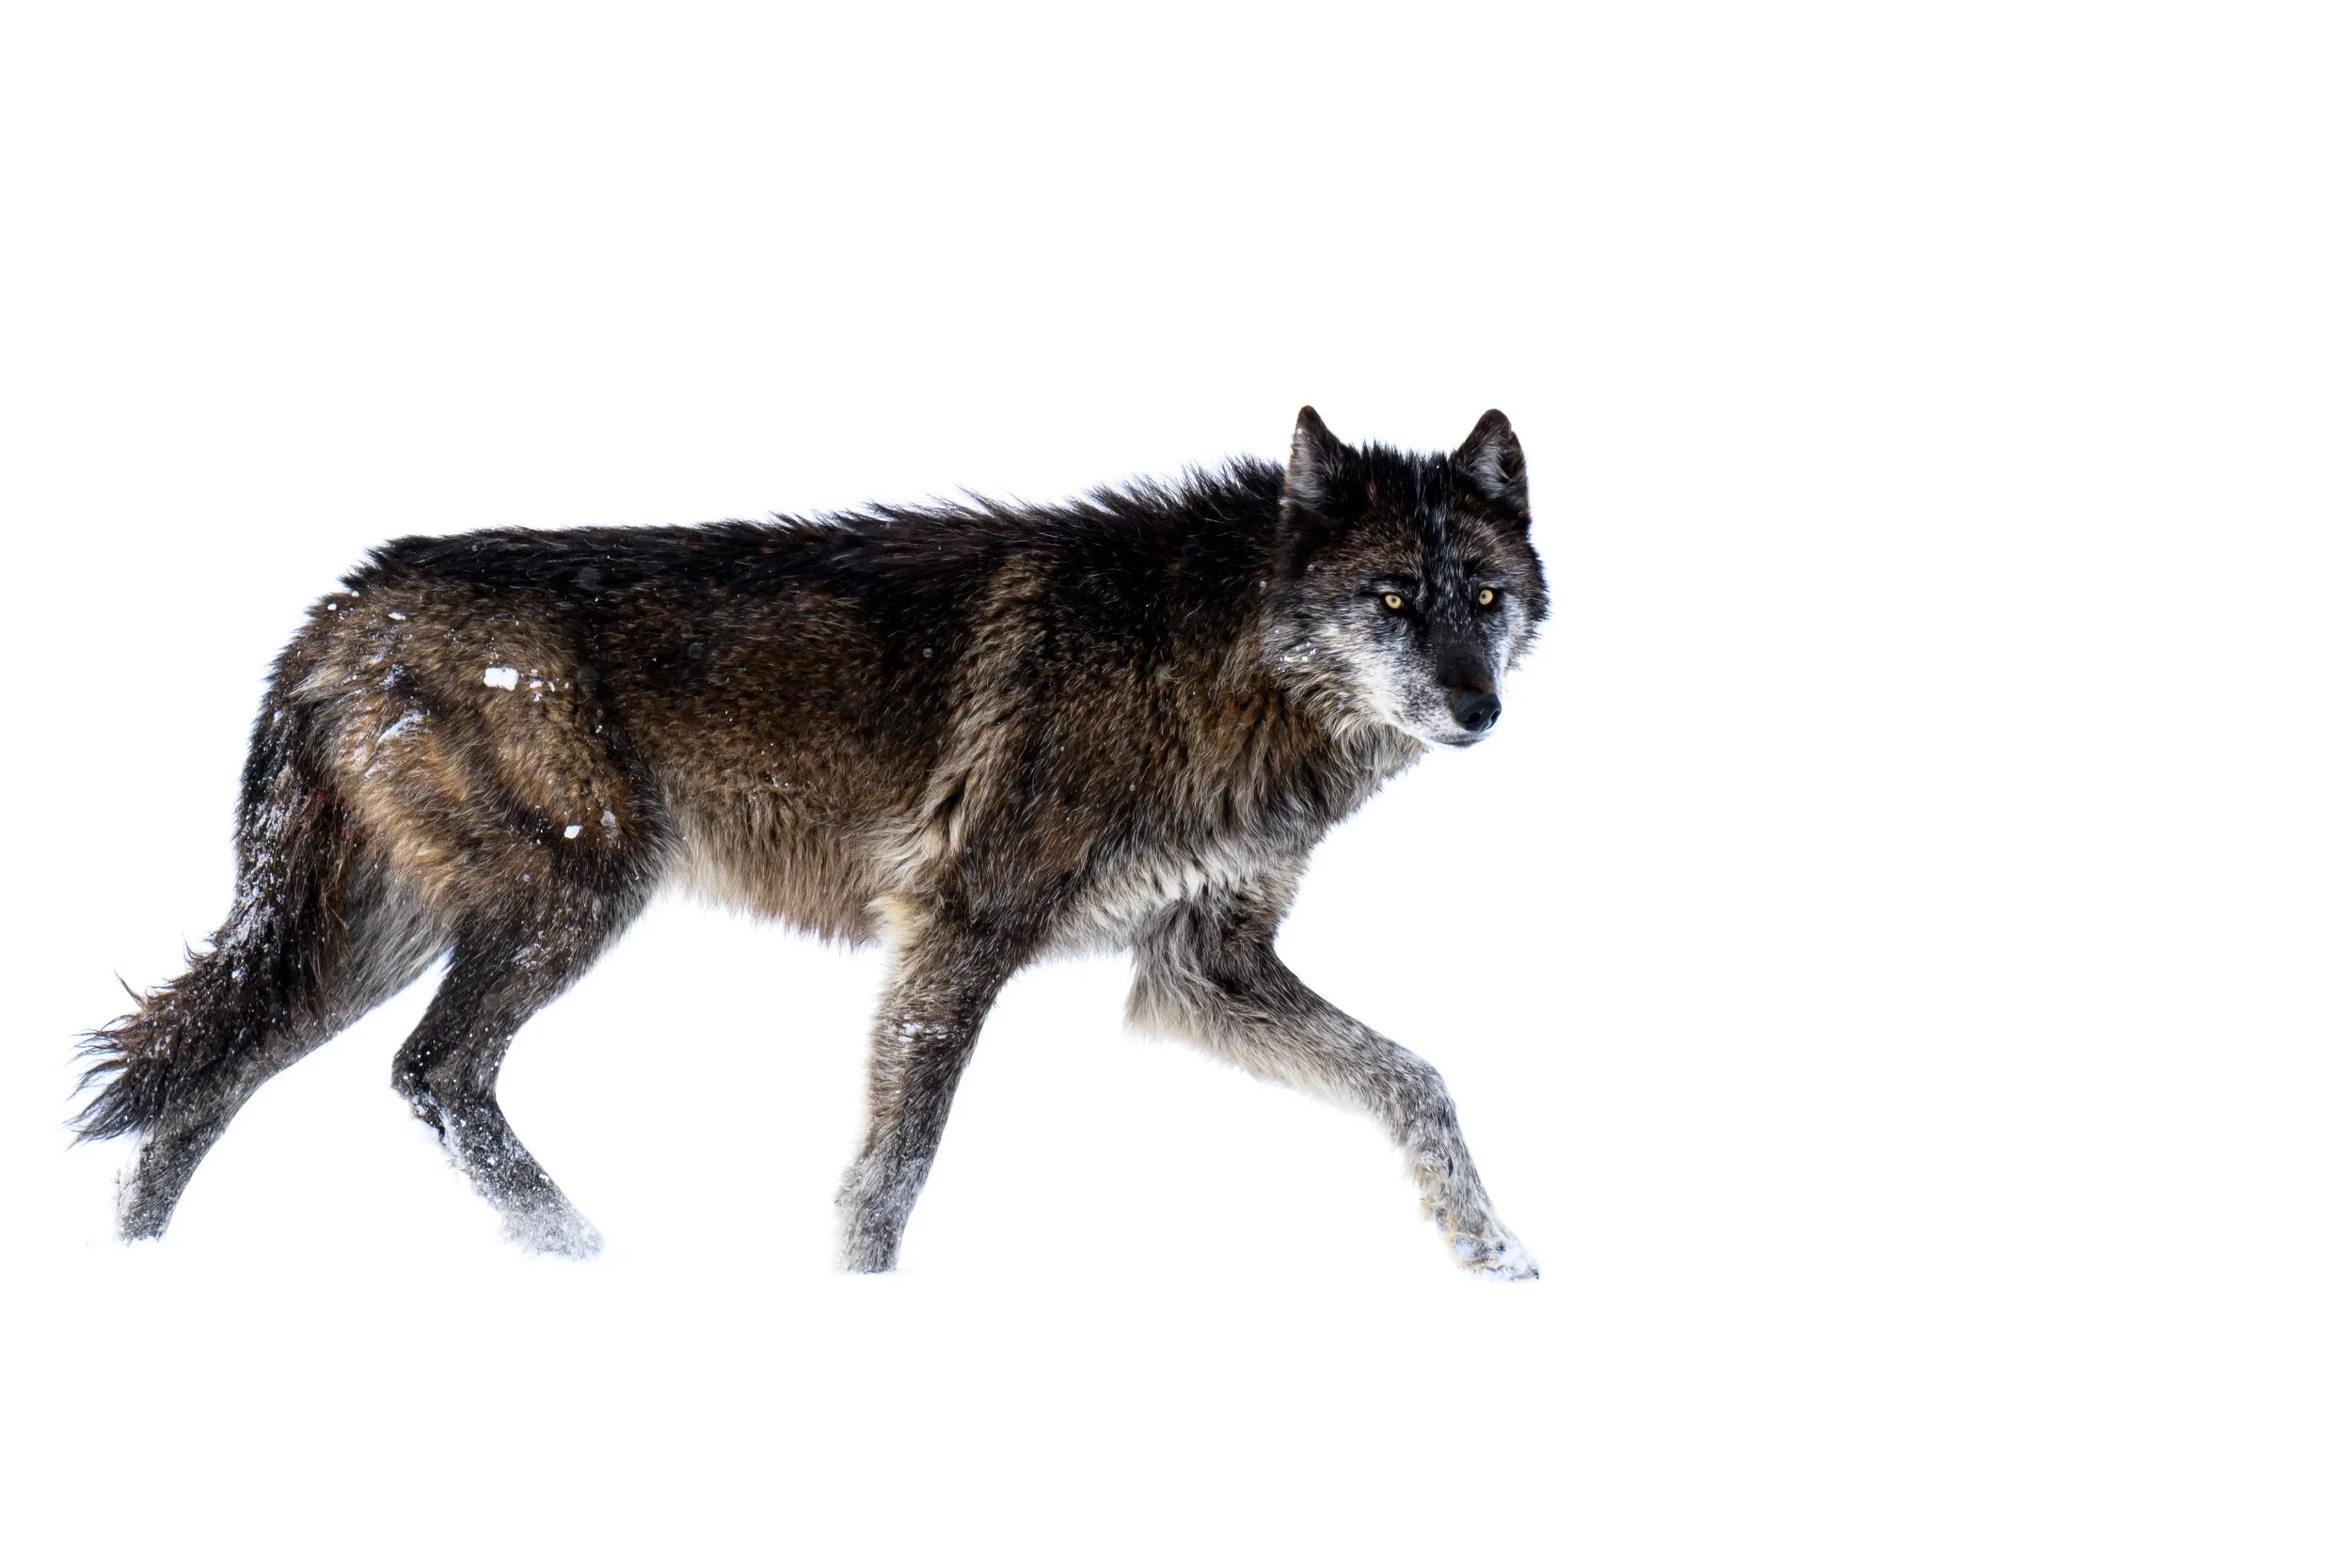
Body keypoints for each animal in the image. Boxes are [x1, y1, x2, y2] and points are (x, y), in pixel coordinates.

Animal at [76, 407, 1549, 1277]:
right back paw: (585, 1256)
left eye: (1483, 596)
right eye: (1391, 597)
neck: (1217, 660)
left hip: (371, 940)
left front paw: (1493, 1250)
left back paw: (139, 1279)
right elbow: (893, 1171)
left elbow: (1416, 1079)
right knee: (428, 1072)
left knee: (203, 1088)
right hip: (563, 900)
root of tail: (339, 606)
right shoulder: (961, 935)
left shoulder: (1202, 967)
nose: (1476, 707)